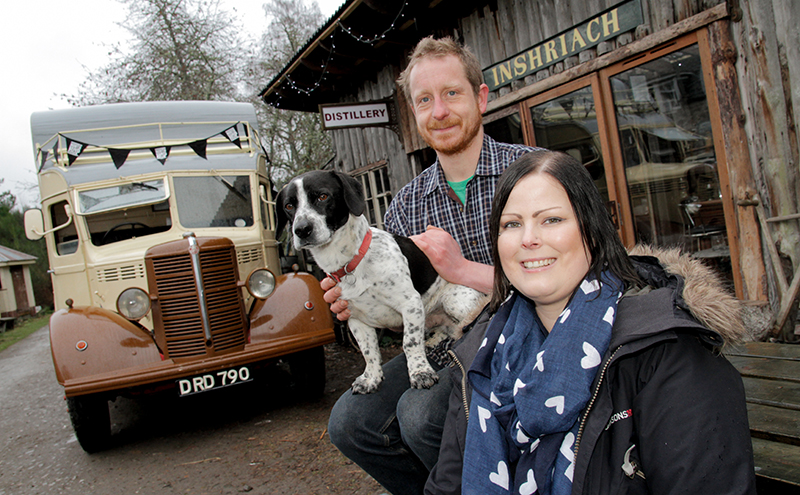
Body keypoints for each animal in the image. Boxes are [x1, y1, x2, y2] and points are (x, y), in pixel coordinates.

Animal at [276, 170, 487, 394]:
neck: (351, 262)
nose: (301, 230)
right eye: (289, 206)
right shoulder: (355, 318)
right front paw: (371, 378)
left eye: (323, 196)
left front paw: (420, 372)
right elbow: (368, 351)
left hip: (454, 301)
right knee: (448, 331)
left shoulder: (410, 304)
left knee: (467, 322)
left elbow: (410, 343)